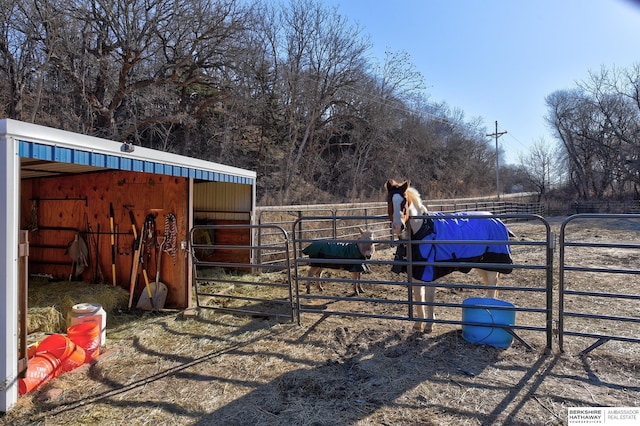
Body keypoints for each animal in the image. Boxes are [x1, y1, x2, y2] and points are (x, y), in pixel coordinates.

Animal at [384, 179, 516, 332]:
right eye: (389, 200)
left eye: (404, 201)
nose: (398, 226)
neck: (422, 231)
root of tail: (497, 220)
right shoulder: (416, 274)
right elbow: (418, 296)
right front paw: (418, 324)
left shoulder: (430, 275)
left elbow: (428, 297)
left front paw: (429, 325)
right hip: (482, 266)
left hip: (492, 267)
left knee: (492, 287)